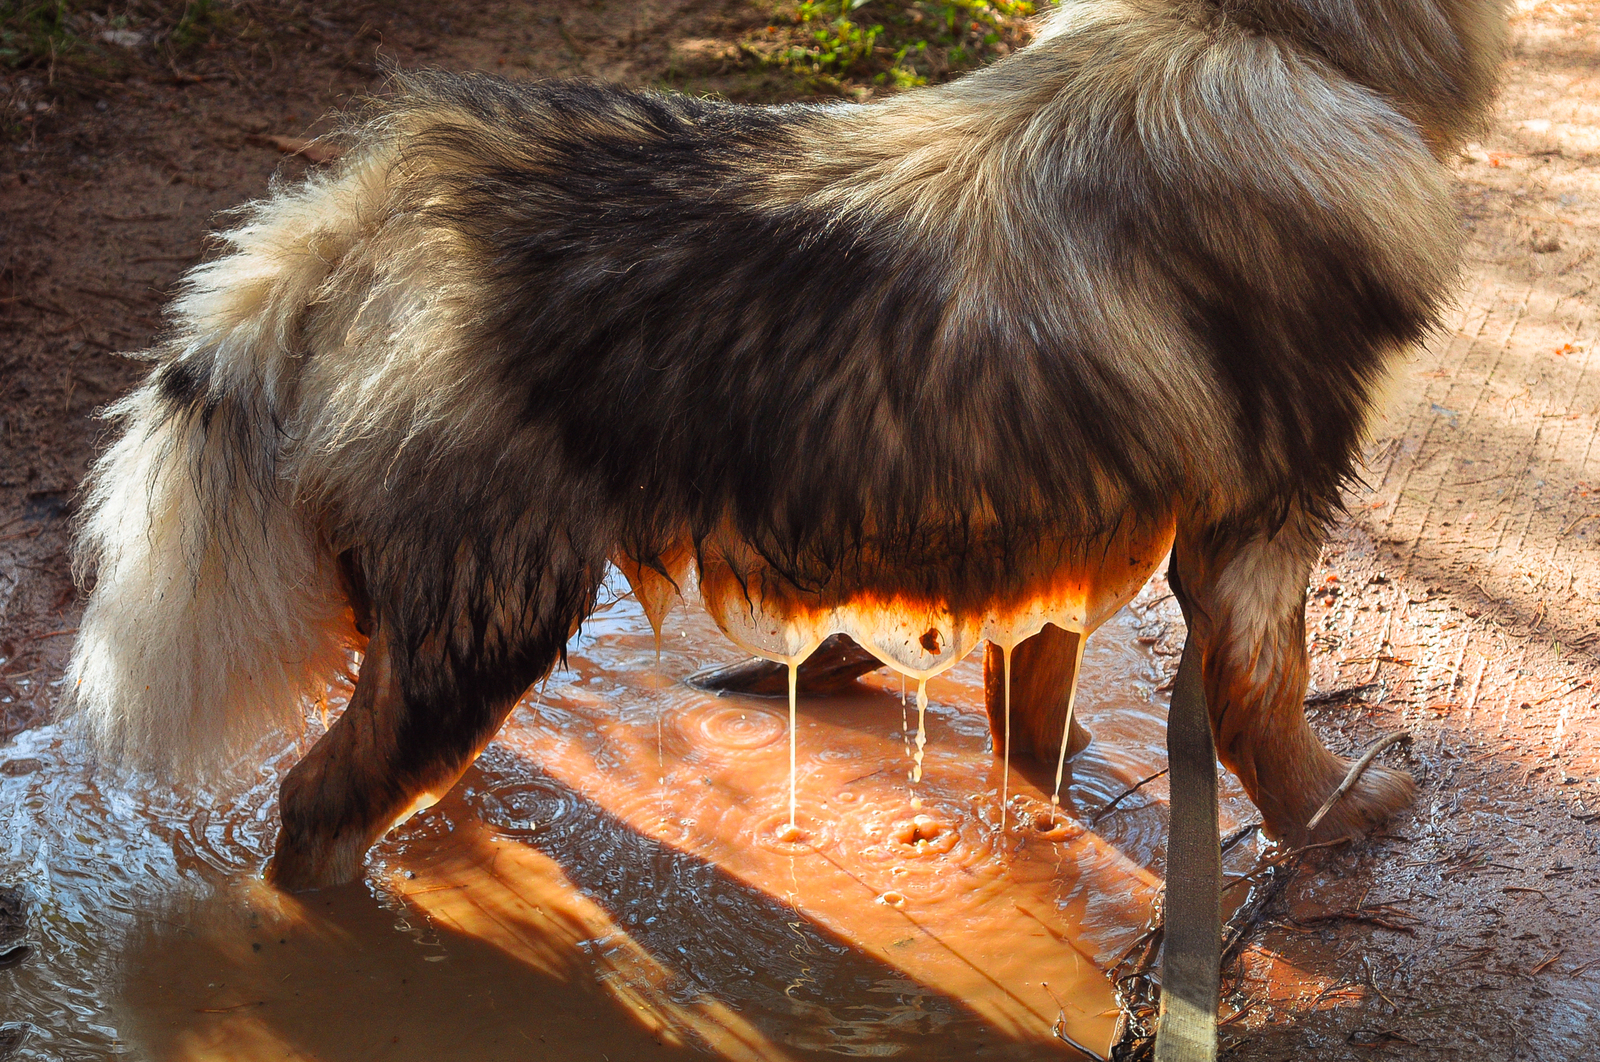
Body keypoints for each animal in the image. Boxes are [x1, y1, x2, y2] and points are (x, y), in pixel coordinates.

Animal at [68, 0, 1497, 889]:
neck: (1246, 30)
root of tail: (368, 205)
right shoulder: (1260, 526)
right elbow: (1268, 706)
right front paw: (1339, 820)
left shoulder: (1068, 535)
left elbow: (1032, 719)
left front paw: (1049, 796)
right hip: (497, 620)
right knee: (315, 815)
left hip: (438, 628)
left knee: (382, 775)